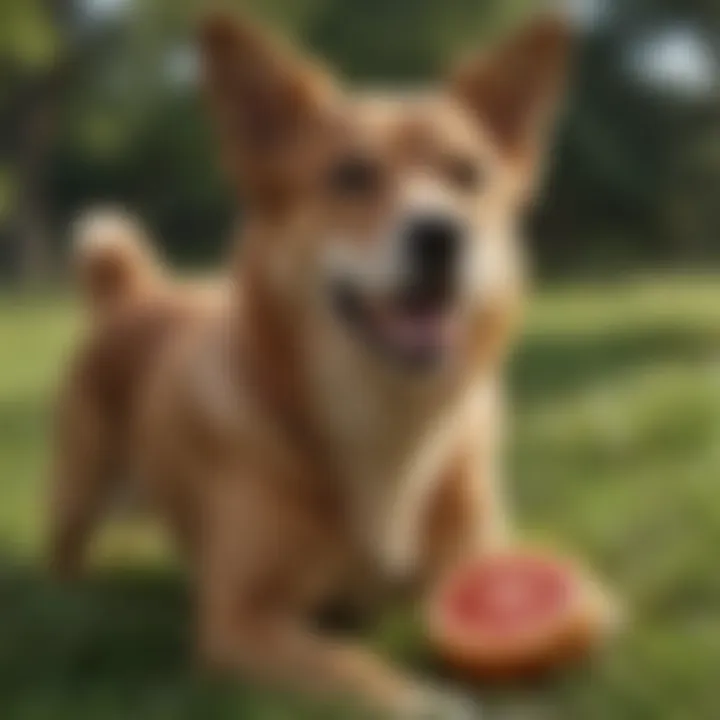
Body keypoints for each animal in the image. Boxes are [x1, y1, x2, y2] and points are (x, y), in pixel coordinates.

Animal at [49, 9, 572, 716]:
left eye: (468, 174)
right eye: (350, 175)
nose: (443, 233)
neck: (384, 418)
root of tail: (135, 289)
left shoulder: (476, 566)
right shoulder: (240, 620)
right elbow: (353, 663)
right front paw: (430, 699)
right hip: (78, 488)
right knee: (65, 559)